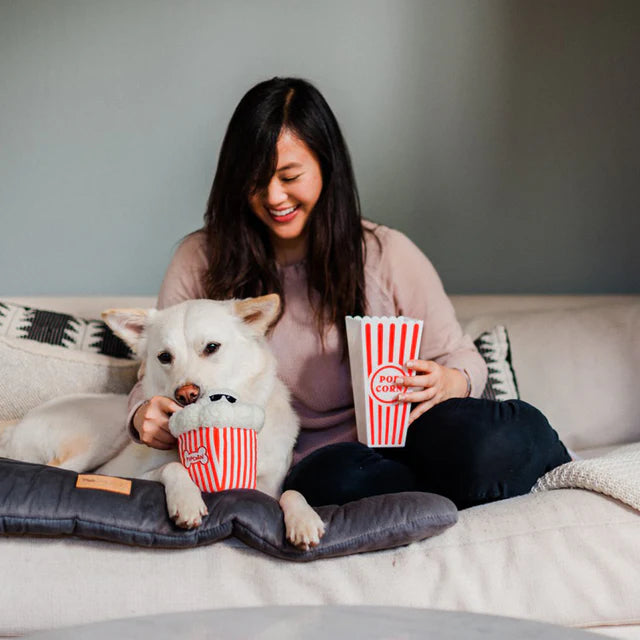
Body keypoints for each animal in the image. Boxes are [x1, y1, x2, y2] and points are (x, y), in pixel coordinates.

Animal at [1, 296, 324, 552]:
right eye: (164, 357)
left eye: (212, 347)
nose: (186, 394)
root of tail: (17, 424)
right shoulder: (134, 475)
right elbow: (173, 467)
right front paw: (186, 500)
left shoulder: (267, 489)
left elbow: (292, 493)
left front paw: (304, 519)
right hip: (103, 436)